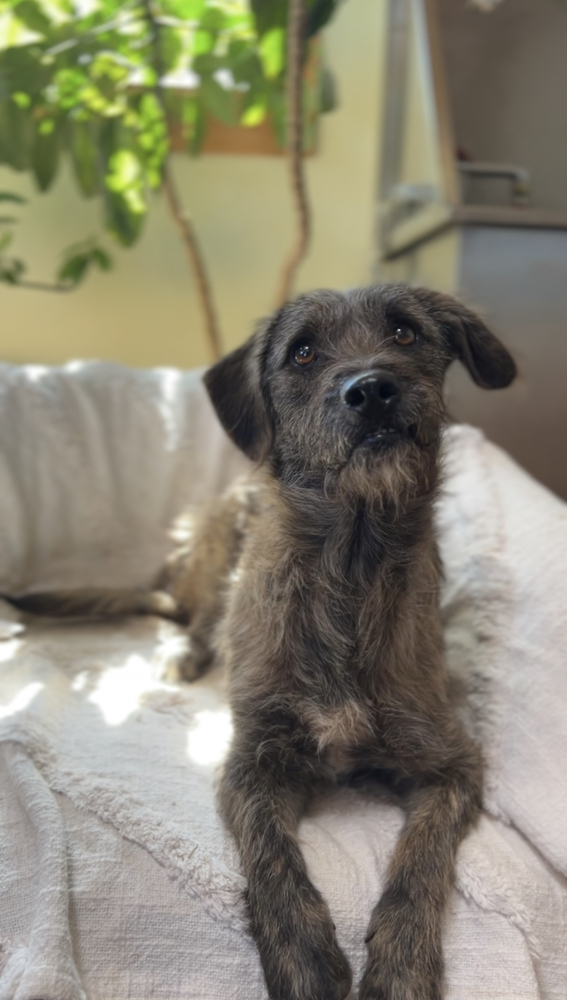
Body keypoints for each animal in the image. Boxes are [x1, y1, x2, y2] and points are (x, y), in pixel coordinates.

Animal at [8, 284, 516, 1000]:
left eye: (405, 333)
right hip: (215, 544)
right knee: (193, 620)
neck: (348, 568)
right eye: (302, 352)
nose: (373, 389)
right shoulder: (252, 759)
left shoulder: (453, 763)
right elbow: (268, 847)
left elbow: (421, 856)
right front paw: (302, 955)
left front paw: (402, 964)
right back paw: (183, 653)